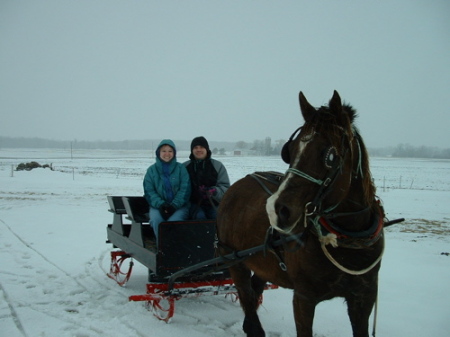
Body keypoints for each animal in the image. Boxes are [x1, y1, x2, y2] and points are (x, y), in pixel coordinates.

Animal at [216, 90, 384, 336]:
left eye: (330, 156)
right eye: (290, 150)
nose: (276, 210)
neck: (347, 239)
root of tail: (235, 186)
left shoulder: (363, 297)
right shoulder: (304, 298)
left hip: (261, 263)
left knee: (254, 293)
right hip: (235, 260)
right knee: (246, 296)